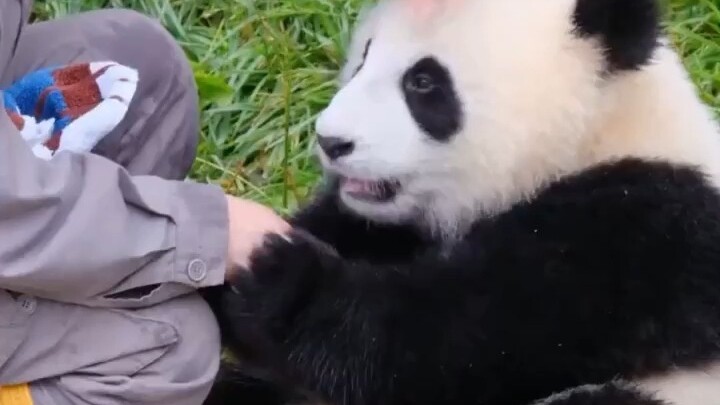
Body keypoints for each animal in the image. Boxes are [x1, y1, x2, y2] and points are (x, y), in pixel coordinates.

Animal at [203, 0, 720, 404]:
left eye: (424, 83)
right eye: (365, 56)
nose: (331, 142)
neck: (595, 129)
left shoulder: (638, 236)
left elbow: (447, 348)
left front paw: (283, 281)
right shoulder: (391, 225)